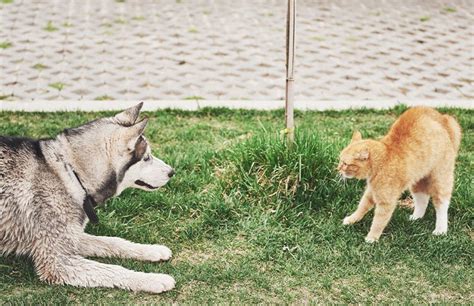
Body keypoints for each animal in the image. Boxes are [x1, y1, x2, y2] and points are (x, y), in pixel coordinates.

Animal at [0, 103, 176, 294]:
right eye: (146, 158)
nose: (172, 172)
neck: (72, 174)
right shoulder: (57, 261)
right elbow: (112, 270)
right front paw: (152, 279)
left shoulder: (73, 236)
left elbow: (113, 242)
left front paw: (151, 250)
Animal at [338, 106, 462, 243]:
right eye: (340, 160)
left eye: (345, 163)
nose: (338, 169)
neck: (384, 158)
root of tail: (443, 118)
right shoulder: (371, 192)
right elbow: (362, 207)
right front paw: (352, 219)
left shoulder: (386, 202)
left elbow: (379, 221)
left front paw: (372, 237)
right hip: (418, 180)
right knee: (422, 198)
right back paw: (416, 217)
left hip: (440, 179)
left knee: (442, 204)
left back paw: (440, 230)